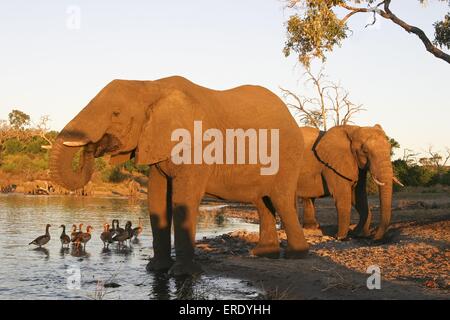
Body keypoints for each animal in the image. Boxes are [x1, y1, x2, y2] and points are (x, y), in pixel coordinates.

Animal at [49, 75, 310, 276]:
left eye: (115, 113)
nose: (94, 147)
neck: (151, 86)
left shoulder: (197, 144)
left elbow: (183, 199)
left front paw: (182, 274)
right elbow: (156, 197)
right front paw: (156, 269)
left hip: (287, 155)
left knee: (281, 199)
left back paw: (296, 256)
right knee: (262, 201)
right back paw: (263, 254)